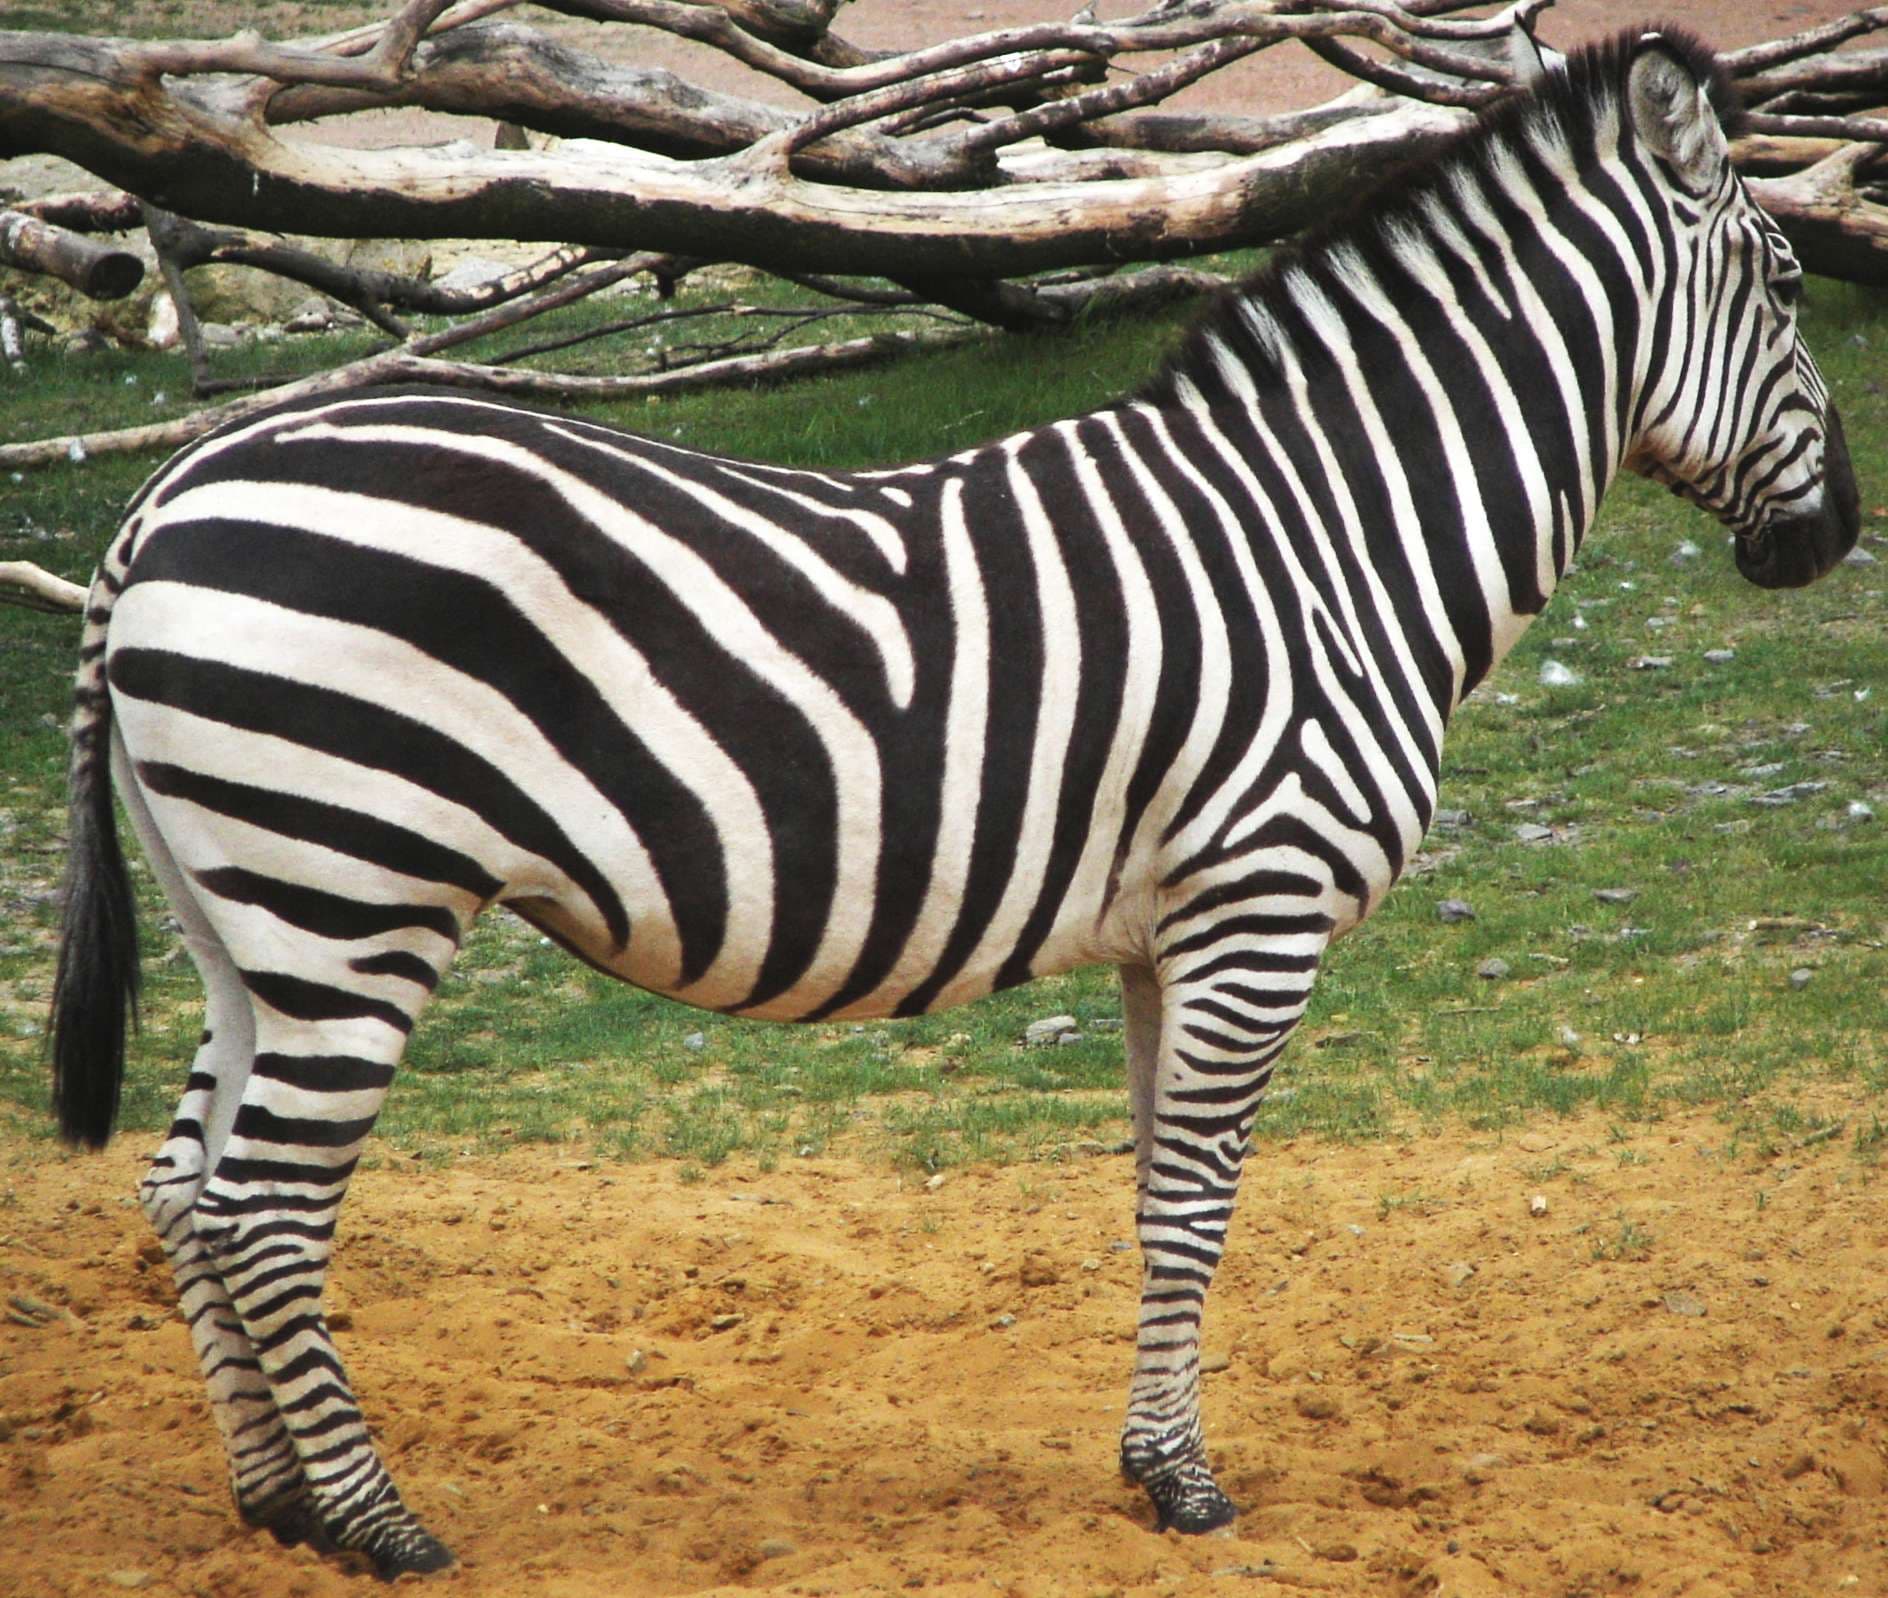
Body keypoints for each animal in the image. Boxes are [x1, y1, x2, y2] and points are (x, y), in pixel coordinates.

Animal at [48, 25, 1857, 1577]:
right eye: (1784, 283)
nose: (1836, 534)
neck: (1332, 539)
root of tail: (164, 498)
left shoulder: (1171, 932)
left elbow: (1159, 1196)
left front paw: (1147, 1458)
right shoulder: (1259, 906)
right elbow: (1197, 1204)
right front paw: (1187, 1485)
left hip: (252, 909)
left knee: (185, 1188)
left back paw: (276, 1498)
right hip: (356, 890)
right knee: (267, 1207)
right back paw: (381, 1523)